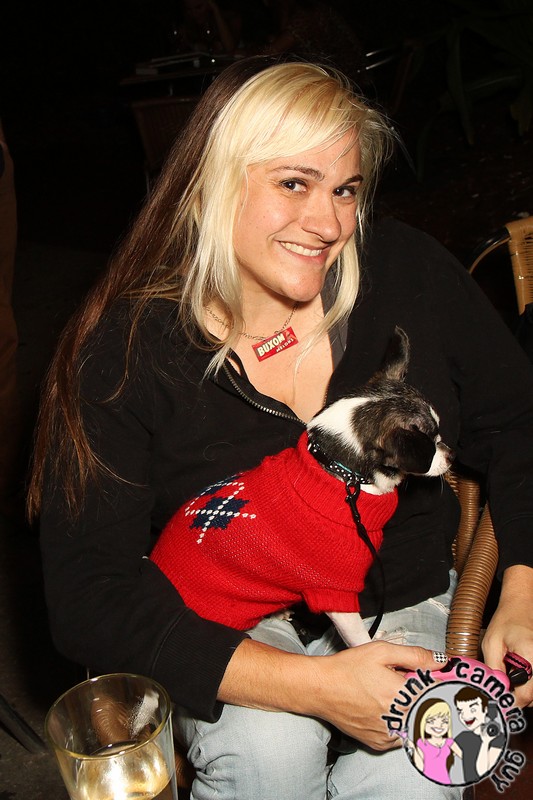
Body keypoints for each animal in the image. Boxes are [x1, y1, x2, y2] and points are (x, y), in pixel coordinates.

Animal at [151, 327, 453, 648]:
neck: (341, 474)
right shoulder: (335, 594)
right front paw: (378, 645)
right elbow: (360, 639)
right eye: (431, 444)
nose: (451, 455)